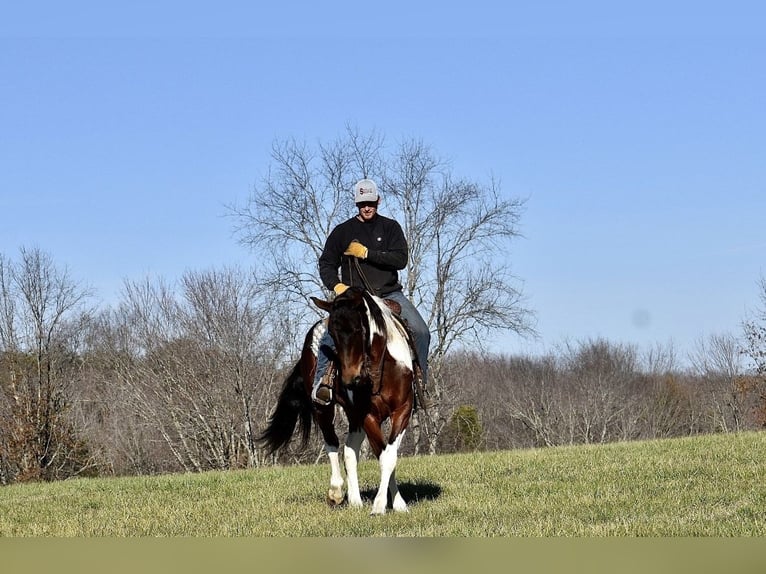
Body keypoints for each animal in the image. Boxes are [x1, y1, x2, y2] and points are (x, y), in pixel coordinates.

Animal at [262, 288, 420, 516]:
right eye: (333, 334)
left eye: (358, 329)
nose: (349, 378)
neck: (380, 369)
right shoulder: (368, 416)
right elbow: (383, 455)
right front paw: (380, 505)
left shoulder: (403, 411)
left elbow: (390, 456)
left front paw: (397, 504)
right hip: (324, 409)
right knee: (332, 443)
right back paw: (336, 492)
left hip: (354, 417)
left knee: (350, 449)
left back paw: (355, 500)